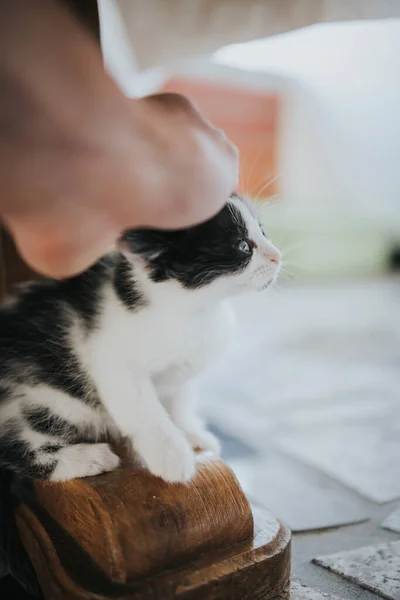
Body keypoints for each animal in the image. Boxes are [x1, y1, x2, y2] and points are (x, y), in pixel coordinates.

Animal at [0, 195, 282, 486]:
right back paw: (89, 458)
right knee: (12, 445)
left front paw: (190, 432)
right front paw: (172, 456)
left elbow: (178, 401)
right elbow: (145, 412)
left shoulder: (181, 373)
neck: (193, 310)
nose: (277, 256)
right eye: (242, 246)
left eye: (263, 231)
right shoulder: (112, 363)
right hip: (45, 396)